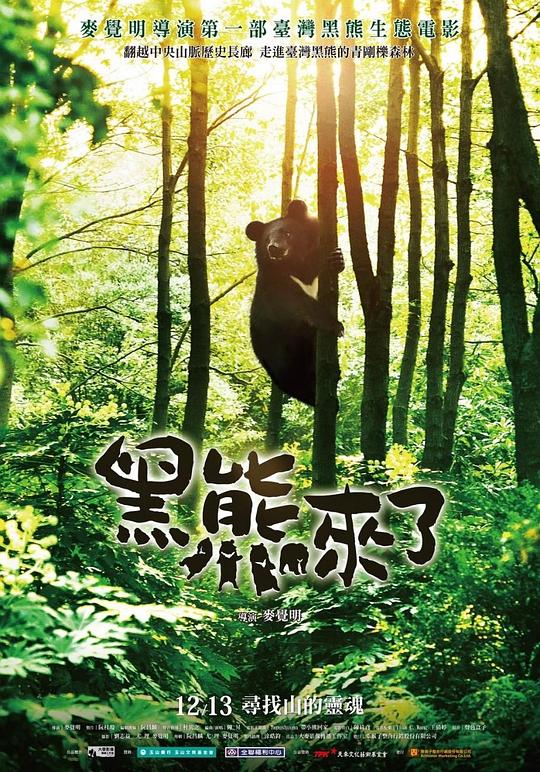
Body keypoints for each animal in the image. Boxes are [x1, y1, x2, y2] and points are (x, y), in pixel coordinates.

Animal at [245, 199, 344, 406]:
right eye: (267, 239)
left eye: (287, 233)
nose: (274, 248)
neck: (293, 265)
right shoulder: (277, 288)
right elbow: (300, 307)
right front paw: (336, 326)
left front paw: (337, 259)